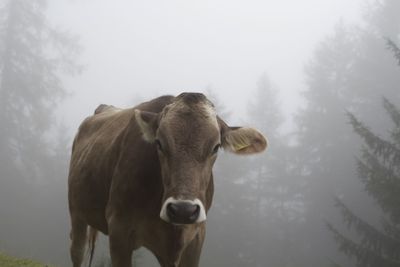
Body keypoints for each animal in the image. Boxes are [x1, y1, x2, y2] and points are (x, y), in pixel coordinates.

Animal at [68, 92, 268, 267]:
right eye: (159, 143)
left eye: (216, 147)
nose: (183, 210)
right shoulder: (118, 229)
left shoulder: (196, 237)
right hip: (76, 213)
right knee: (77, 251)